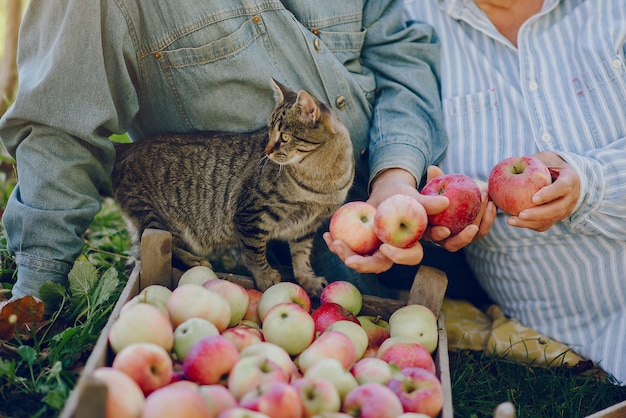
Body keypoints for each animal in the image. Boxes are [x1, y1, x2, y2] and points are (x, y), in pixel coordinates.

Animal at [111, 80, 352, 296]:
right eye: (269, 132)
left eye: (284, 137)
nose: (267, 151)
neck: (323, 180)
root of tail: (126, 148)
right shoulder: (252, 213)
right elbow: (255, 251)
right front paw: (265, 276)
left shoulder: (305, 228)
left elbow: (301, 256)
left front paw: (308, 279)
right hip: (156, 216)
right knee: (158, 245)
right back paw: (193, 259)